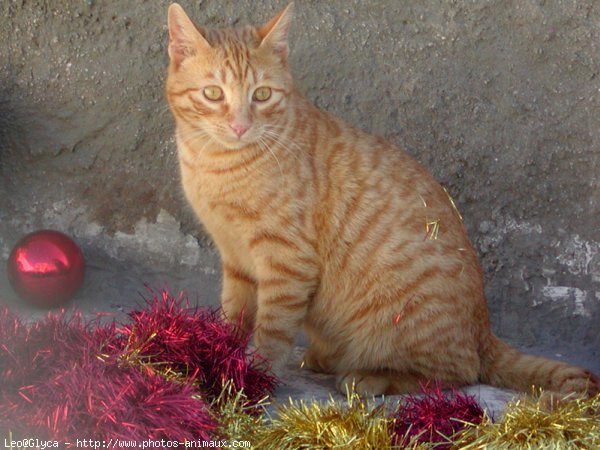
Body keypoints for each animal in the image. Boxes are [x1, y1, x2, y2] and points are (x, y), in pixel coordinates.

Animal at [165, 2, 600, 398]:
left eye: (262, 95)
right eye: (213, 93)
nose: (240, 126)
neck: (217, 163)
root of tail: (484, 328)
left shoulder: (286, 261)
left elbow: (272, 330)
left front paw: (253, 376)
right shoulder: (236, 260)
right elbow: (233, 316)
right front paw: (217, 355)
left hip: (404, 322)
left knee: (456, 373)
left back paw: (369, 377)